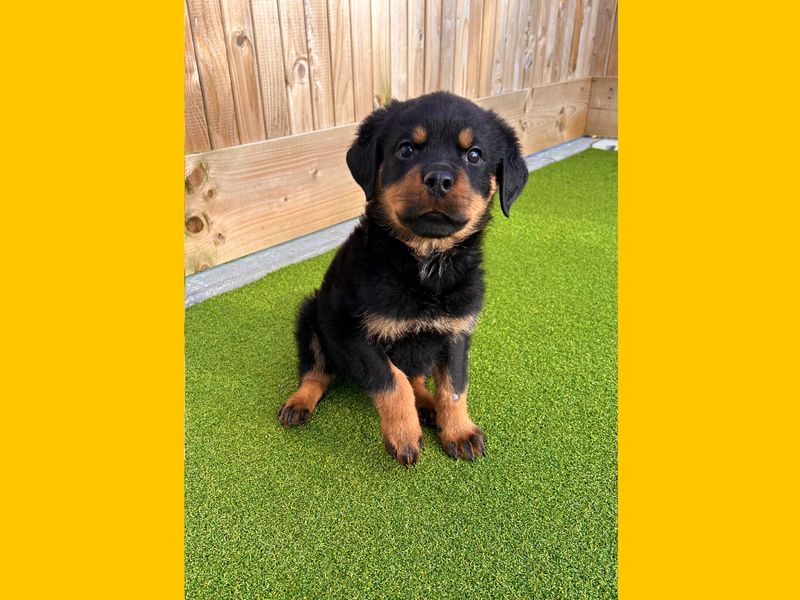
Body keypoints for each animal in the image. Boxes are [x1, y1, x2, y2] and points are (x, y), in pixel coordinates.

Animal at [278, 91, 528, 466]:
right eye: (406, 149)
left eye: (474, 155)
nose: (439, 179)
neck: (426, 264)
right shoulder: (354, 332)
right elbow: (391, 382)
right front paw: (405, 436)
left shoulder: (457, 332)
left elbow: (454, 386)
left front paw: (459, 432)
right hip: (311, 315)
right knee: (317, 372)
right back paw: (299, 402)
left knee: (417, 377)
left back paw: (426, 403)